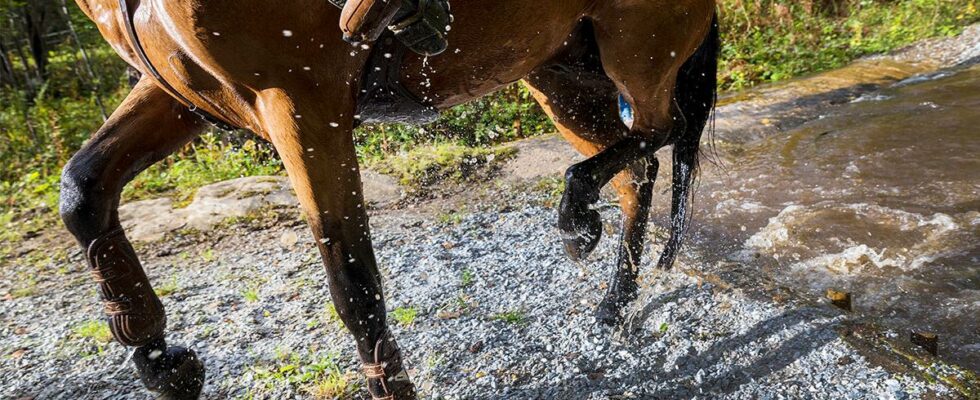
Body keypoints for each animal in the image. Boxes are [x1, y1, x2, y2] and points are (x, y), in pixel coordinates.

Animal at [63, 1, 720, 398]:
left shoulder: (301, 101)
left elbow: (351, 279)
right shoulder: (180, 93)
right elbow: (82, 192)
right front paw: (162, 363)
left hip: (635, 49)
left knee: (663, 129)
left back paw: (578, 218)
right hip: (560, 74)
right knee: (638, 168)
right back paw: (611, 300)